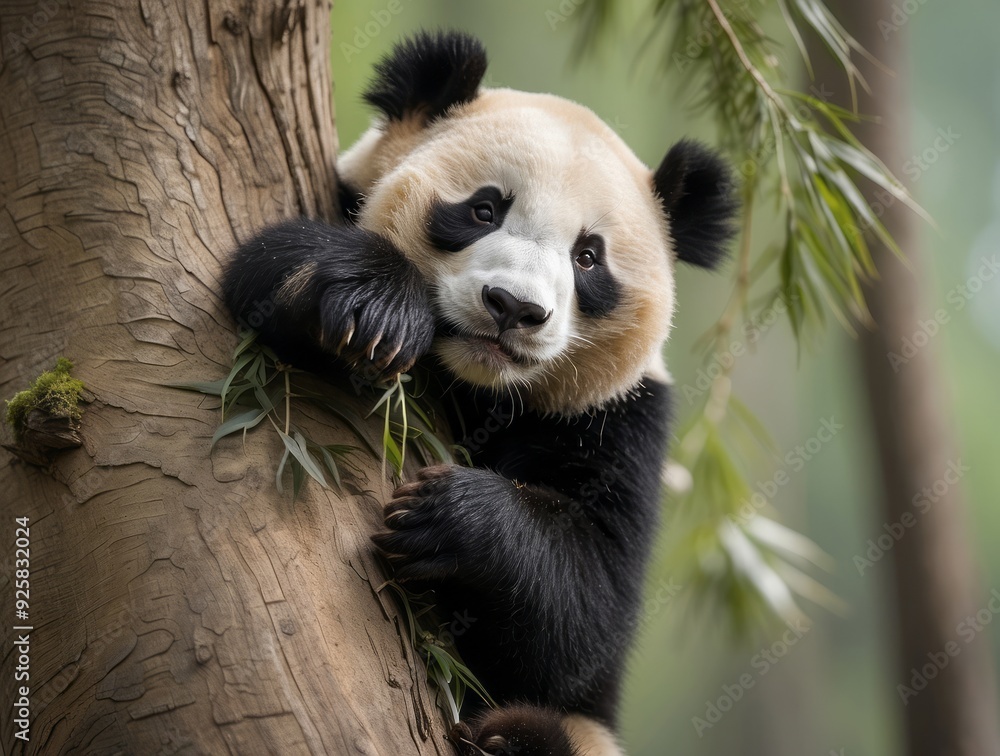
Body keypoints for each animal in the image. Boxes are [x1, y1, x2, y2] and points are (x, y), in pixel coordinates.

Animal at [221, 31, 737, 756]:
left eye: (588, 257)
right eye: (484, 208)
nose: (513, 308)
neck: (477, 387)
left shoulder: (622, 419)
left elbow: (588, 609)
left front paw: (448, 515)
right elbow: (270, 265)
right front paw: (377, 311)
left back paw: (512, 738)